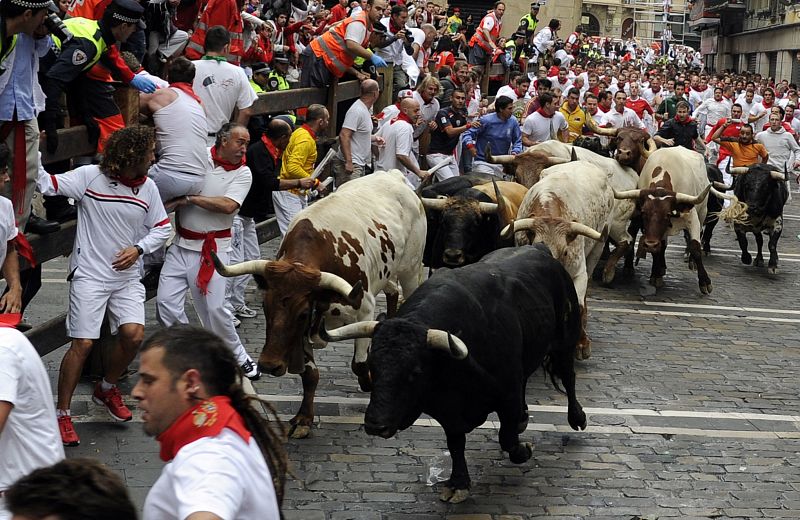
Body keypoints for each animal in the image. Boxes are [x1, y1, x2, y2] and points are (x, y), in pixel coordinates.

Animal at [211, 172, 424, 438]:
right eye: (265, 307)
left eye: (302, 313)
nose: (269, 365)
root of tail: (392, 175)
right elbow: (309, 374)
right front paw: (304, 419)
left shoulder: (364, 309)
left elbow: (359, 364)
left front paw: (369, 381)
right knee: (392, 291)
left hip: (411, 270)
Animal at [320, 246, 588, 502]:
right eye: (373, 368)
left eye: (415, 372)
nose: (376, 425)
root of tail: (540, 249)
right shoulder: (448, 411)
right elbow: (456, 443)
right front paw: (458, 483)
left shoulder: (507, 393)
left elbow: (507, 437)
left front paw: (524, 450)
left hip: (565, 341)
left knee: (569, 377)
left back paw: (577, 417)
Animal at [500, 160, 612, 360]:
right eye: (536, 246)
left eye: (565, 252)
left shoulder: (578, 273)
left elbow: (579, 304)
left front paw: (580, 344)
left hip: (597, 250)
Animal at [612, 146, 712, 294]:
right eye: (643, 213)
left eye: (667, 214)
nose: (650, 244)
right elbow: (659, 250)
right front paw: (656, 275)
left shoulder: (692, 217)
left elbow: (695, 247)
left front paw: (705, 282)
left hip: (702, 212)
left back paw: (691, 261)